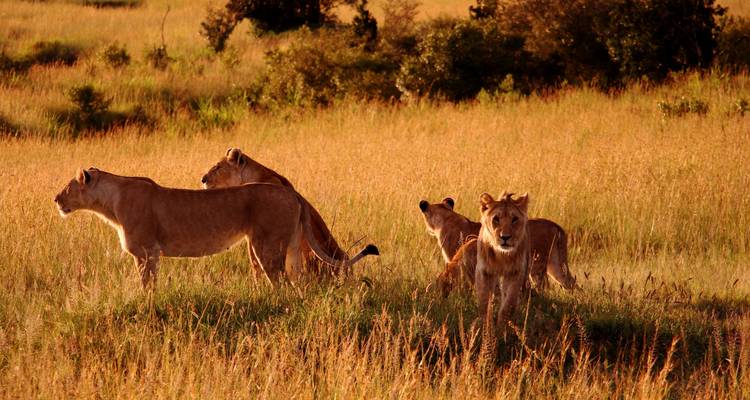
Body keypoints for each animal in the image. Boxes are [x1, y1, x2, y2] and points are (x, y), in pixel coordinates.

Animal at [54, 168, 377, 288]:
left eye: (68, 187)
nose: (56, 199)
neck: (109, 202)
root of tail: (293, 192)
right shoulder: (151, 254)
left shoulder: (146, 252)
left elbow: (146, 285)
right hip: (293, 246)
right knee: (296, 279)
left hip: (266, 246)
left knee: (280, 281)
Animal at [419, 197, 576, 295]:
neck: (446, 217)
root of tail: (556, 226)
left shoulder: (456, 260)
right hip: (555, 264)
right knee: (570, 282)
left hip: (537, 267)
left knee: (544, 286)